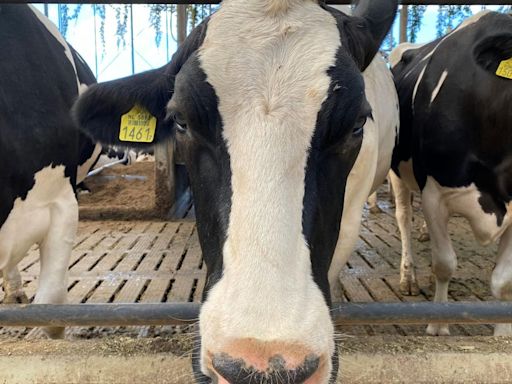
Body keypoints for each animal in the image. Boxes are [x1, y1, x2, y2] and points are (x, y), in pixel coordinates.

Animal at [390, 10, 510, 336]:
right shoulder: (435, 194)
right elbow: (444, 263)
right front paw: (438, 325)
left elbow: (503, 280)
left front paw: (502, 332)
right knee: (403, 217)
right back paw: (409, 276)